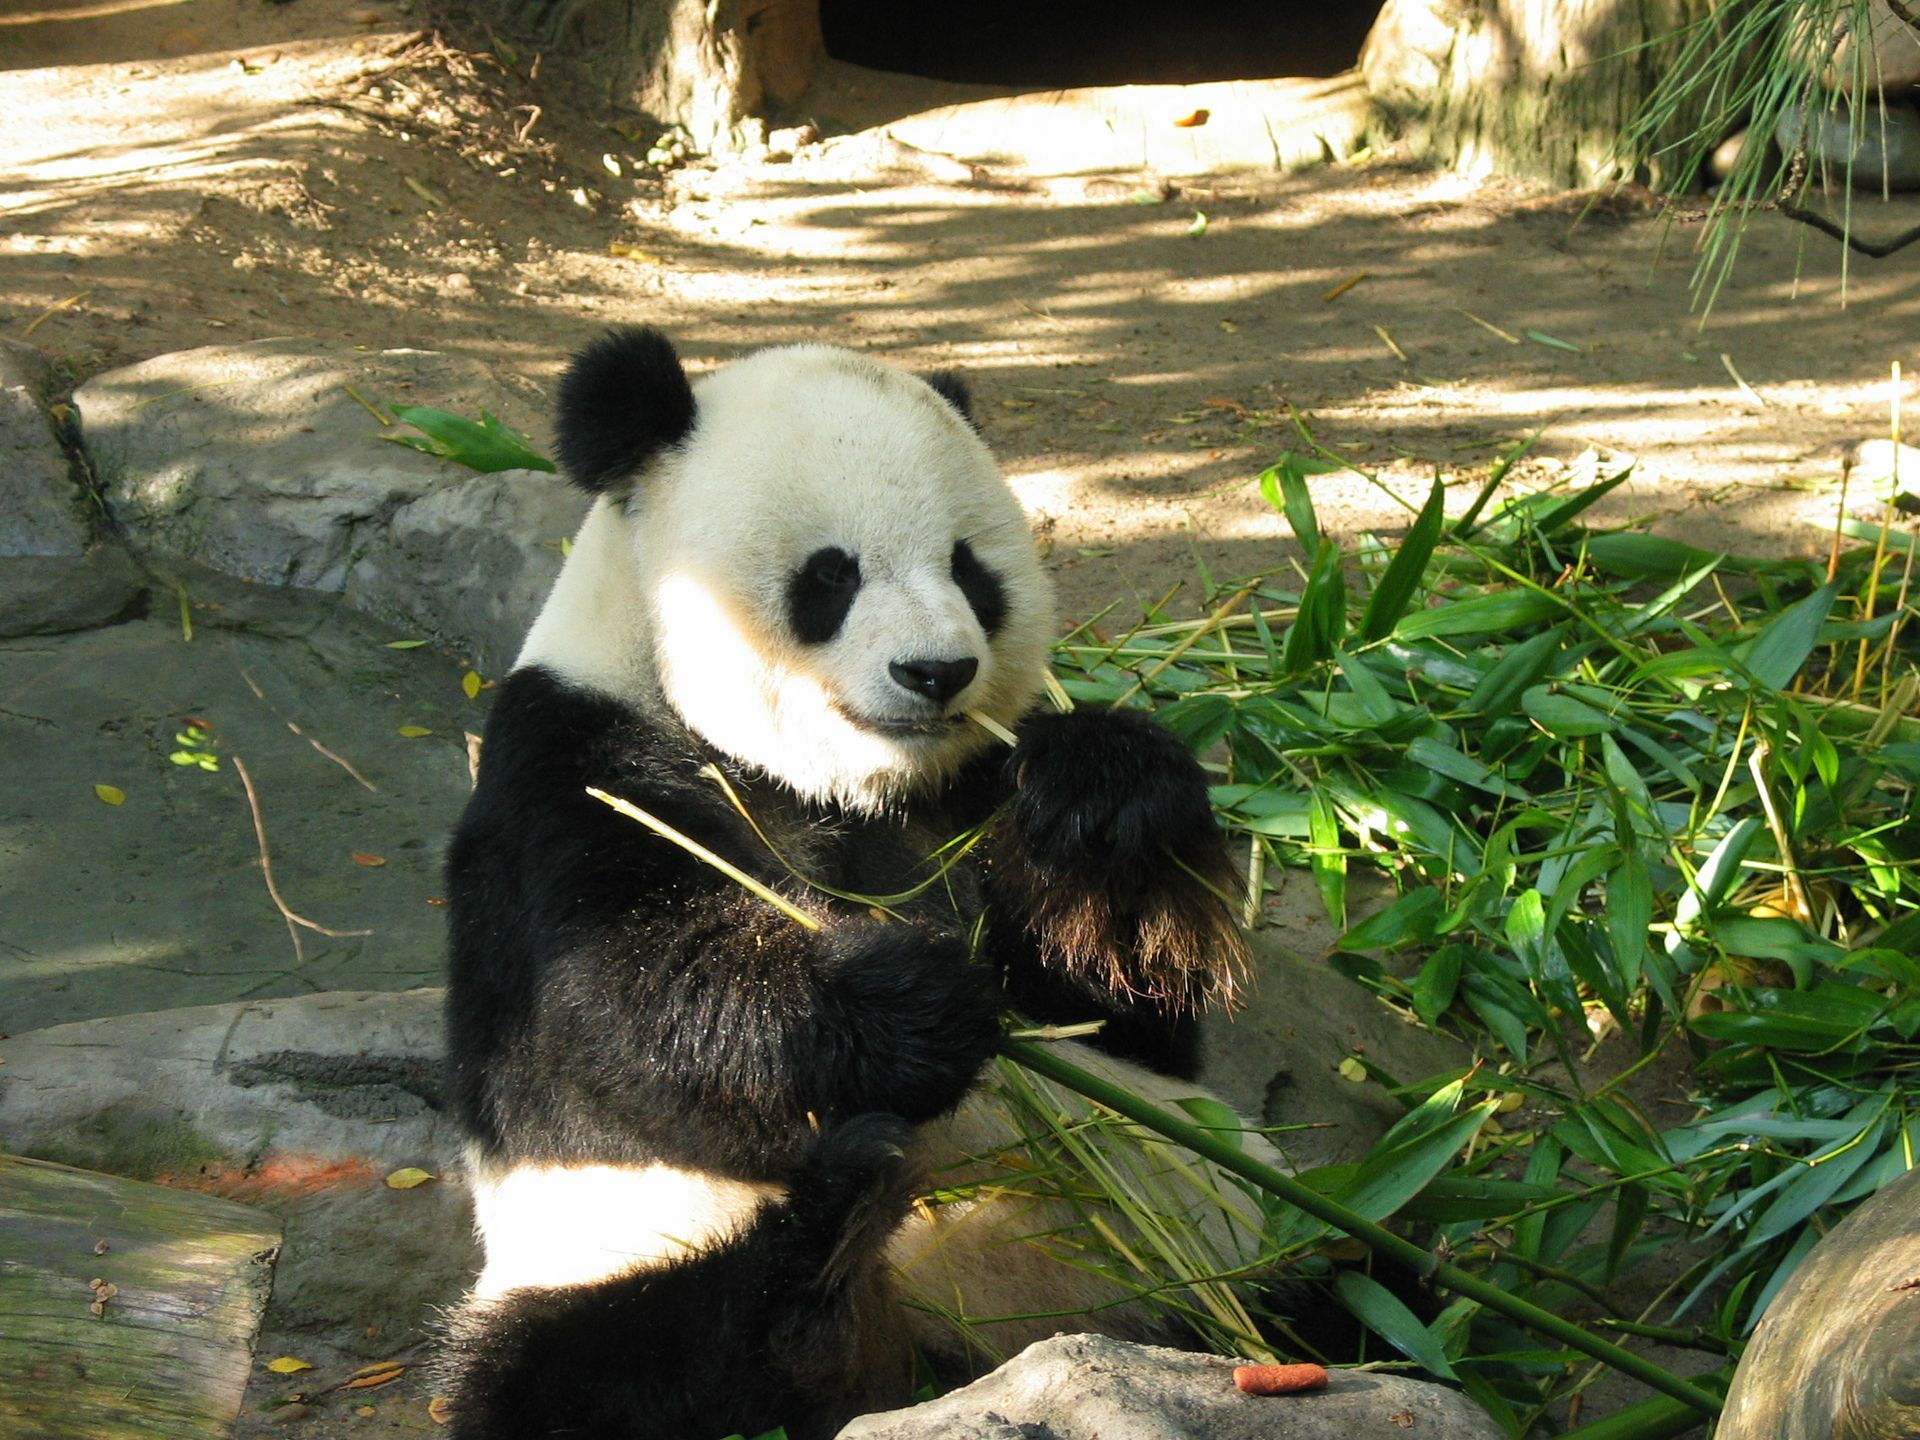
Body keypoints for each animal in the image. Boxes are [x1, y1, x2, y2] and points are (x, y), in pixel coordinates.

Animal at [438, 328, 1268, 1440]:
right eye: (830, 575)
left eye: (970, 569)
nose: (937, 672)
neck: (843, 785)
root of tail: (935, 1358)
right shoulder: (572, 762)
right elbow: (607, 998)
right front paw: (917, 1009)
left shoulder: (967, 795)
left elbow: (1126, 1017)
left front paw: (1103, 789)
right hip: (605, 1244)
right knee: (590, 1368)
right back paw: (820, 1262)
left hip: (1199, 1226)